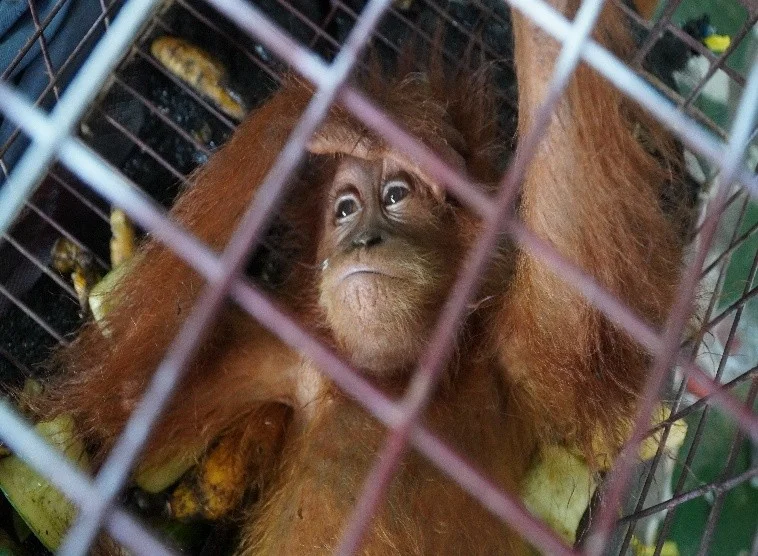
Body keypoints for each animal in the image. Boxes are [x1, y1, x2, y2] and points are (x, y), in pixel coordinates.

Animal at [32, 0, 692, 553]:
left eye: (397, 196)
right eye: (346, 209)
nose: (362, 239)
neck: (397, 377)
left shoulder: (520, 351)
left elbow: (582, 279)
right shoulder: (282, 357)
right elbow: (118, 409)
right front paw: (327, 114)